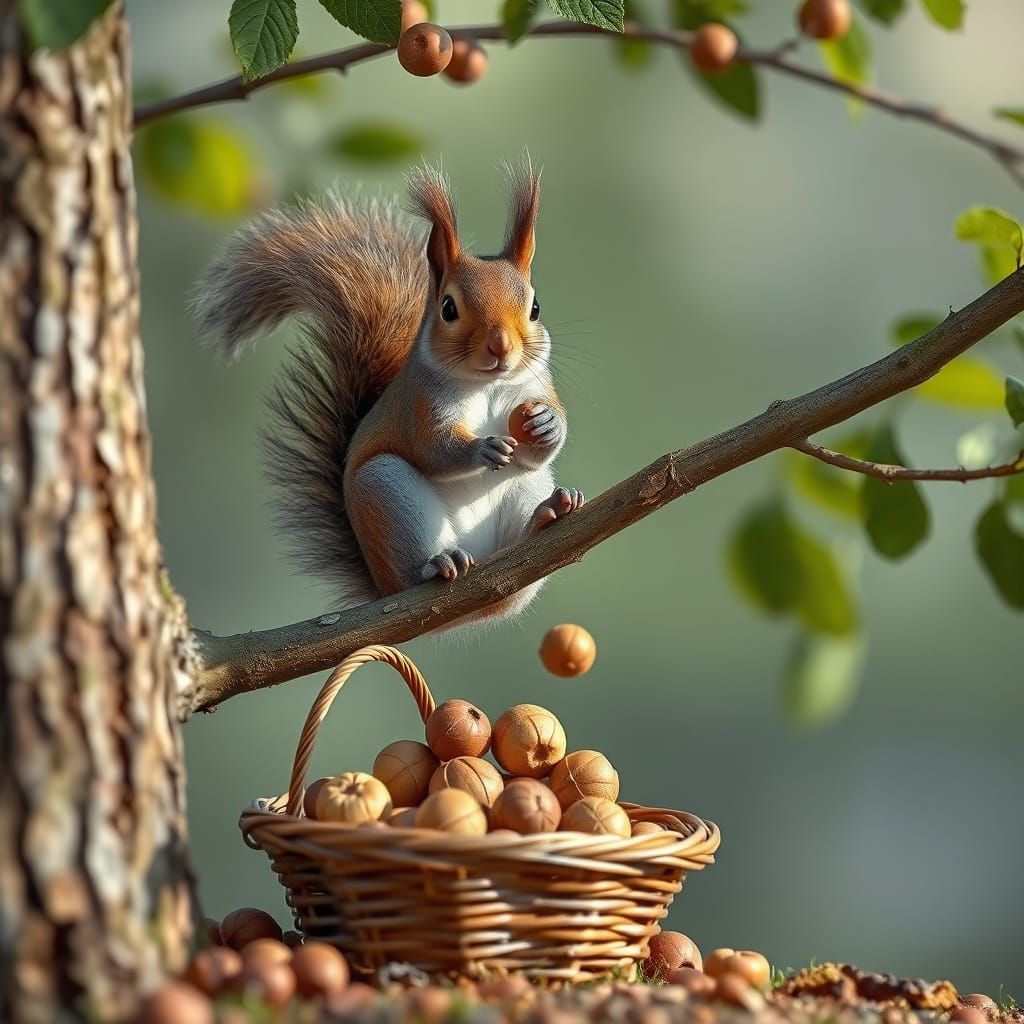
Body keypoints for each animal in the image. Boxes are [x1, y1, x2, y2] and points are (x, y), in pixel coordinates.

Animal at [193, 163, 584, 622]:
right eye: (448, 308)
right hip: (387, 494)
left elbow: (540, 445)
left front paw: (547, 423)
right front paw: (481, 448)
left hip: (524, 490)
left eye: (535, 308)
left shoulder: (536, 384)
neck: (487, 385)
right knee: (417, 564)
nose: (501, 347)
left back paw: (545, 516)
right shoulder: (420, 404)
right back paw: (437, 565)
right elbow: (433, 447)